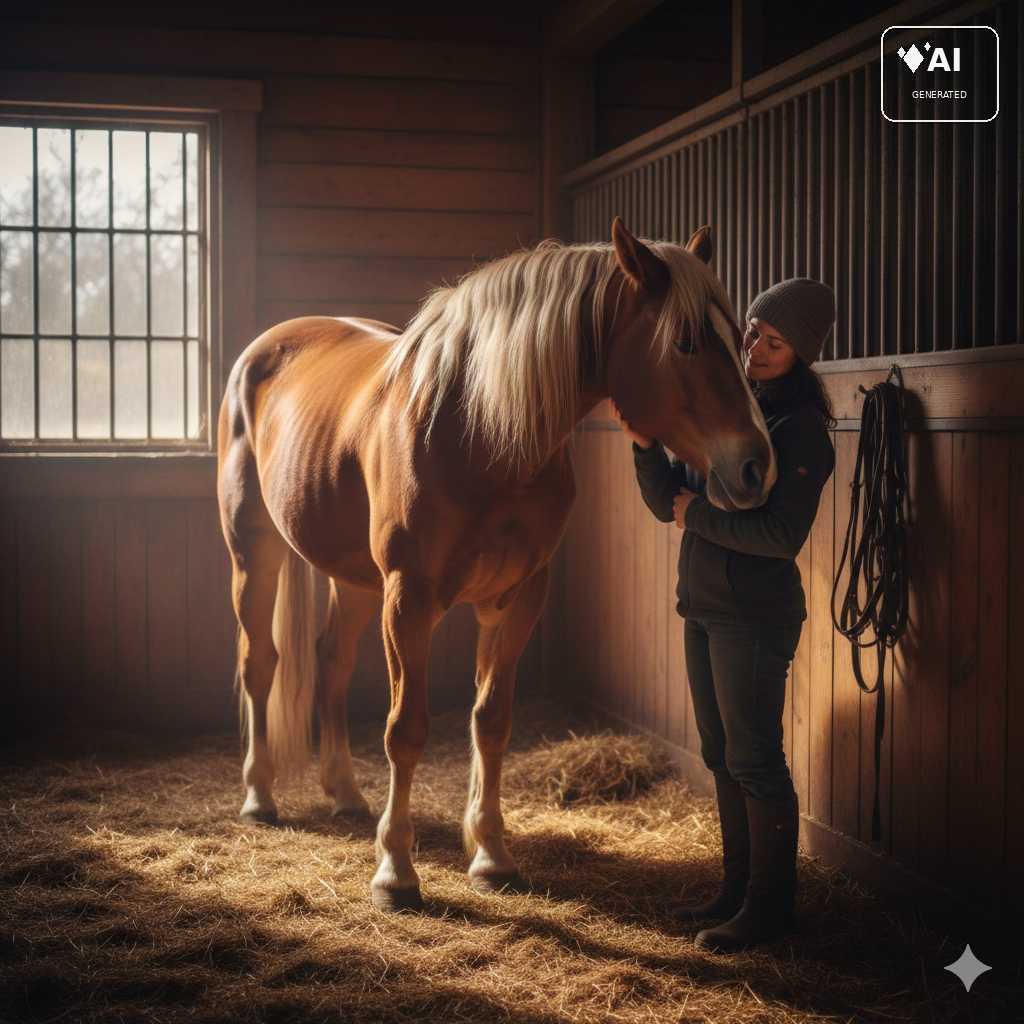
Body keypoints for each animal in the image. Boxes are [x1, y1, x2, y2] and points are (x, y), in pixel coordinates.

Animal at [215, 216, 778, 912]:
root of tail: (266, 346)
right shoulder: (409, 599)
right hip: (254, 551)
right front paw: (396, 872)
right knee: (259, 662)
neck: (477, 429)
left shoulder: (516, 599)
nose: (756, 467)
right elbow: (406, 729)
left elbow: (491, 721)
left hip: (353, 579)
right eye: (686, 341)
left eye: (740, 340)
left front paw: (490, 854)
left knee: (331, 664)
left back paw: (345, 794)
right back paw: (259, 796)